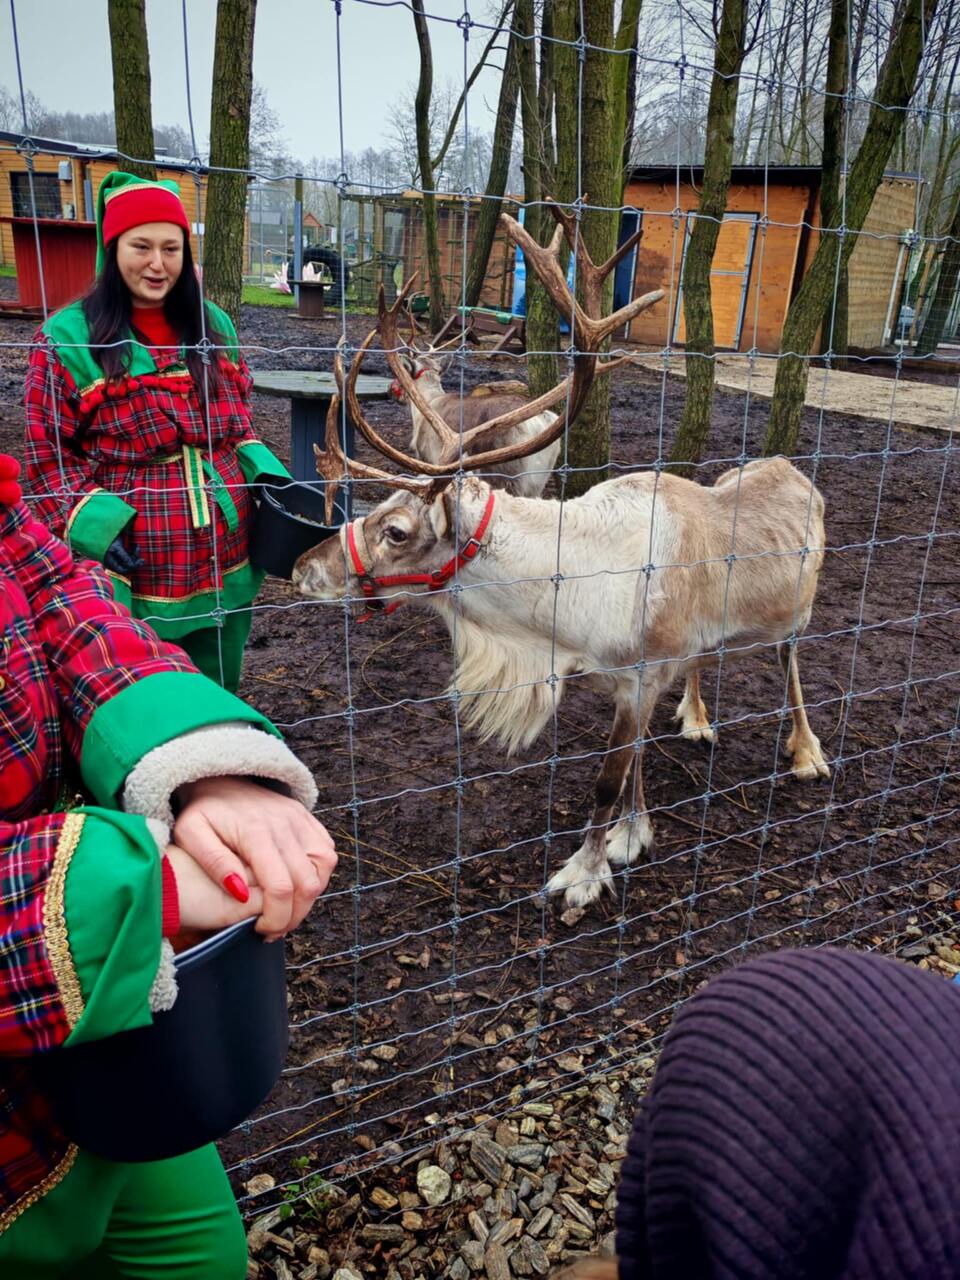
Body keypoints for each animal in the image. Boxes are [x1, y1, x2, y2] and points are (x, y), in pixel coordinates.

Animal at [292, 202, 829, 911]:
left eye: (398, 531)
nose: (304, 569)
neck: (560, 614)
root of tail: (796, 472)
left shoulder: (640, 677)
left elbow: (607, 779)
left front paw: (584, 872)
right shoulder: (628, 681)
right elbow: (633, 768)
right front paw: (634, 833)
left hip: (800, 611)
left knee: (792, 663)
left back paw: (807, 752)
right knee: (704, 662)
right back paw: (695, 716)